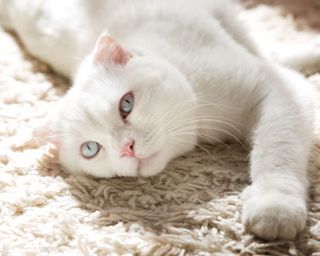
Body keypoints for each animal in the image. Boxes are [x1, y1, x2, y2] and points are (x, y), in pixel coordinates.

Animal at [0, 0, 316, 240]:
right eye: (90, 149)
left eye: (126, 104)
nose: (127, 148)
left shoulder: (277, 88)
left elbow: (276, 148)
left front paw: (275, 206)